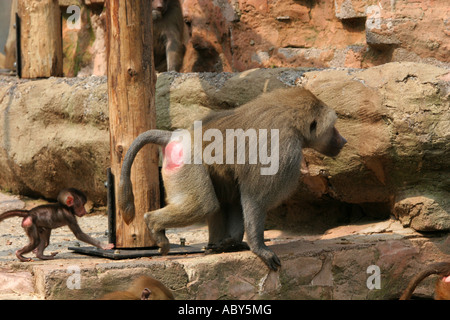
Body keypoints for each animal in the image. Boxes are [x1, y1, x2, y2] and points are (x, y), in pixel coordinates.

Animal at [118, 87, 346, 270]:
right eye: (332, 128)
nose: (343, 140)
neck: (290, 118)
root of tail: (176, 137)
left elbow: (240, 198)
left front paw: (232, 242)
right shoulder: (283, 152)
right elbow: (255, 198)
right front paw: (260, 248)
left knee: (220, 201)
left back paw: (218, 246)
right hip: (187, 162)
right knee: (203, 205)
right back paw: (155, 226)